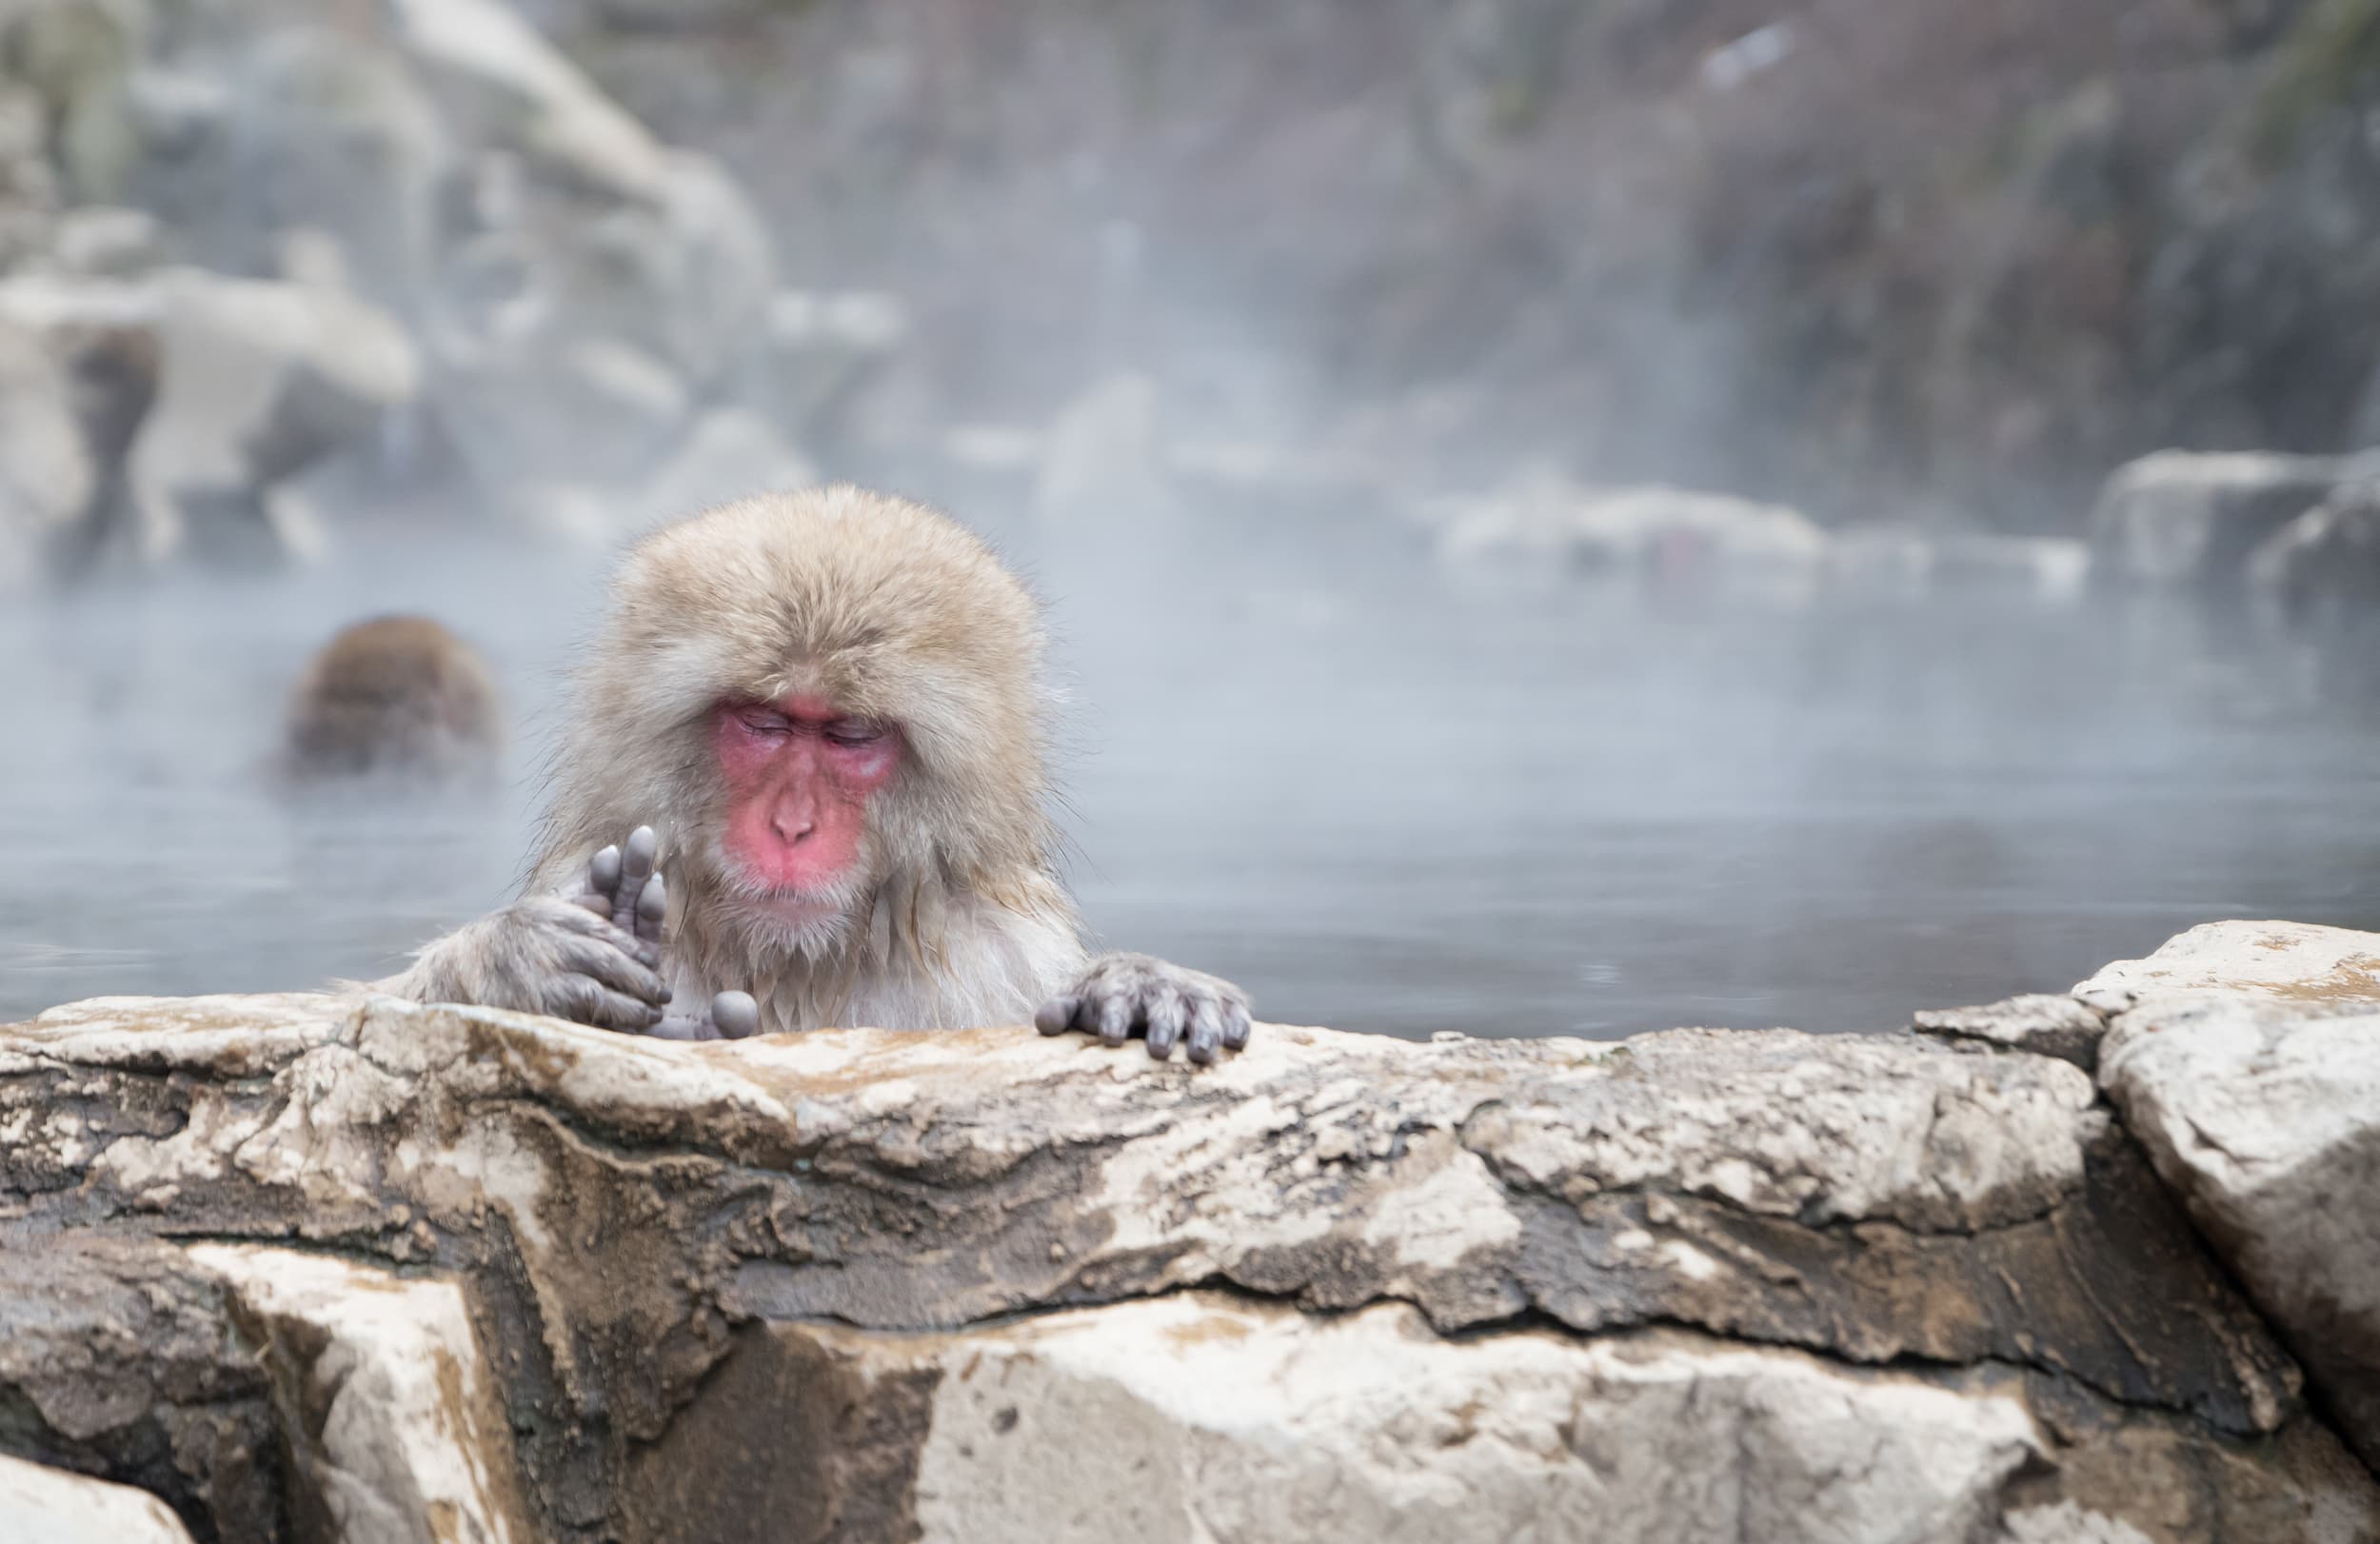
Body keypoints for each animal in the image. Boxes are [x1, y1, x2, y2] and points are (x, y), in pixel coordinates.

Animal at [374, 485, 1252, 1060]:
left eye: (849, 734)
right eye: (764, 722)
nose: (792, 826)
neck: (804, 972)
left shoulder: (1004, 956)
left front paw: (1141, 986)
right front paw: (511, 963)